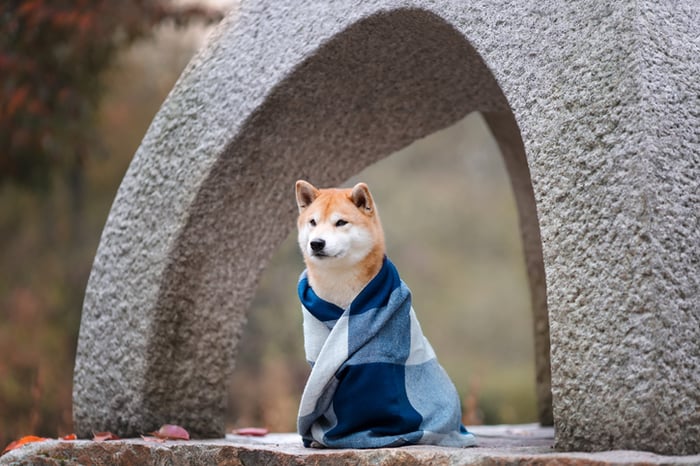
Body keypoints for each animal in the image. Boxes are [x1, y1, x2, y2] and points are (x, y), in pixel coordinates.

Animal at [292, 180, 474, 450]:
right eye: (313, 222)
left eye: (341, 222)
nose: (317, 243)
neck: (339, 294)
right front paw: (321, 438)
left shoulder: (376, 361)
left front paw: (367, 436)